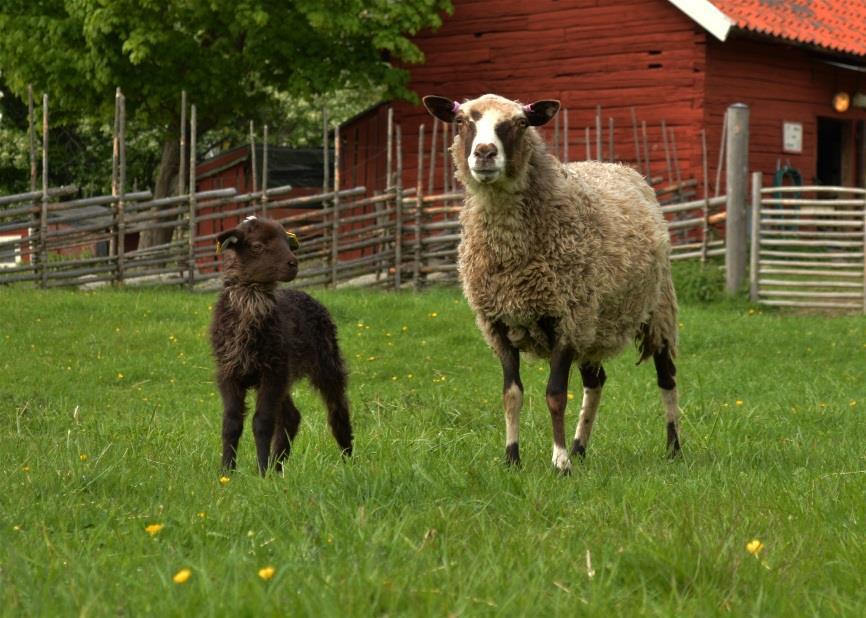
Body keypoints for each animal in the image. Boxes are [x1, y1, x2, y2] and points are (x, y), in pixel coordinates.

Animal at [422, 94, 680, 472]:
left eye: (520, 123)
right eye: (461, 121)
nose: (484, 153)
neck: (512, 258)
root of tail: (618, 166)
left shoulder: (566, 320)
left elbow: (555, 395)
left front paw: (559, 462)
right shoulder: (498, 325)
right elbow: (511, 394)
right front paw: (512, 457)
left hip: (655, 311)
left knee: (666, 377)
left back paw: (674, 448)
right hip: (594, 321)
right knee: (595, 382)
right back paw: (580, 447)